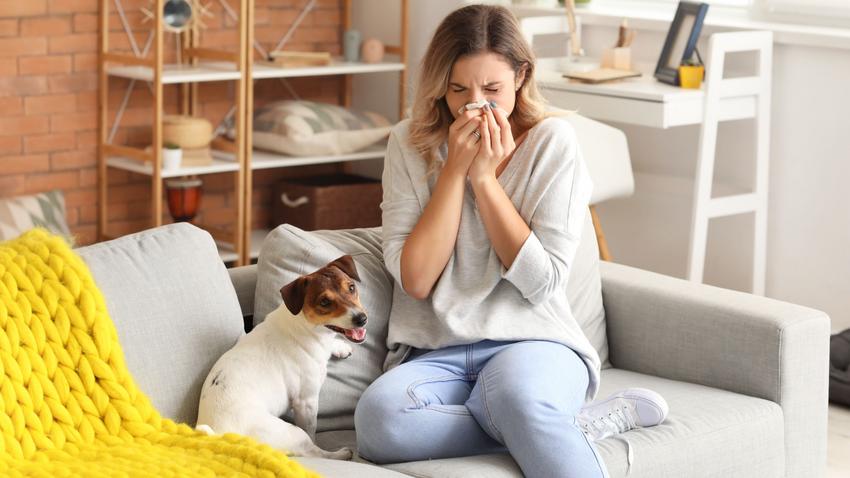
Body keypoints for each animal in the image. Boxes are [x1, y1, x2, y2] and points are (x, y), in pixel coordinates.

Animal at [195, 254, 368, 460]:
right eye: (325, 302)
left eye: (351, 287)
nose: (362, 319)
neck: (304, 326)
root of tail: (220, 435)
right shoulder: (306, 401)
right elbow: (311, 430)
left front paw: (340, 347)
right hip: (291, 432)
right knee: (312, 451)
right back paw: (340, 454)